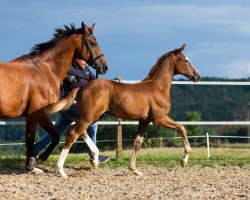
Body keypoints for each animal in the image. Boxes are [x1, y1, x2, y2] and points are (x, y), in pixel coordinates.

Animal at [0, 21, 107, 172]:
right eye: (93, 43)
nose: (104, 66)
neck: (44, 70)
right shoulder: (39, 112)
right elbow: (55, 137)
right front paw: (38, 160)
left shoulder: (30, 115)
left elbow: (30, 139)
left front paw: (31, 165)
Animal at [46, 44, 200, 177]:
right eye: (185, 60)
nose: (197, 76)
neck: (158, 87)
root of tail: (82, 87)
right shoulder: (159, 118)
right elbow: (182, 128)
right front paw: (184, 161)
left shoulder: (144, 121)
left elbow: (137, 143)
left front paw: (134, 169)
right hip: (90, 116)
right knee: (73, 134)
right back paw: (61, 170)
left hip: (93, 116)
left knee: (80, 131)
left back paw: (95, 159)